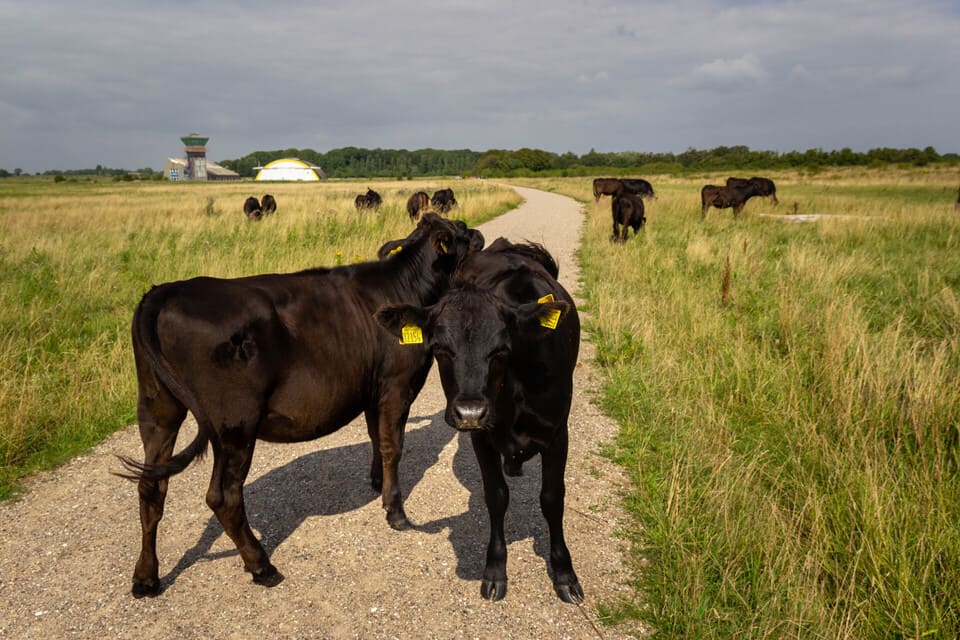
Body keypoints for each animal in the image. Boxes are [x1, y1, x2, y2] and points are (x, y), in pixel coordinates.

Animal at [117, 213, 483, 598]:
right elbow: (391, 446)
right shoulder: (397, 384)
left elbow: (375, 436)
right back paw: (261, 566)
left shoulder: (373, 388)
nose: (478, 233)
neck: (407, 286)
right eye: (460, 228)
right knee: (223, 497)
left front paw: (375, 482)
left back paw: (146, 577)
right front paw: (395, 512)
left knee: (150, 487)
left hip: (157, 409)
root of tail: (167, 290)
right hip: (235, 422)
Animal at [375, 238, 583, 604]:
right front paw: (495, 569)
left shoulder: (558, 433)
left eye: (501, 349)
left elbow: (552, 498)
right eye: (440, 348)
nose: (470, 412)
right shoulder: (482, 438)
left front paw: (564, 572)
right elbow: (496, 496)